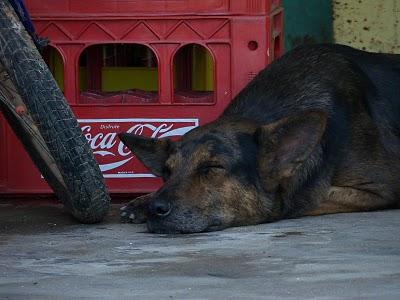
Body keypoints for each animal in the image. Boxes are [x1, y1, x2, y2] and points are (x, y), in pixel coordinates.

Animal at [119, 43, 400, 233]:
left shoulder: (380, 189)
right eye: (167, 172)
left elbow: (306, 197)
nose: (155, 209)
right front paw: (142, 201)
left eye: (212, 168)